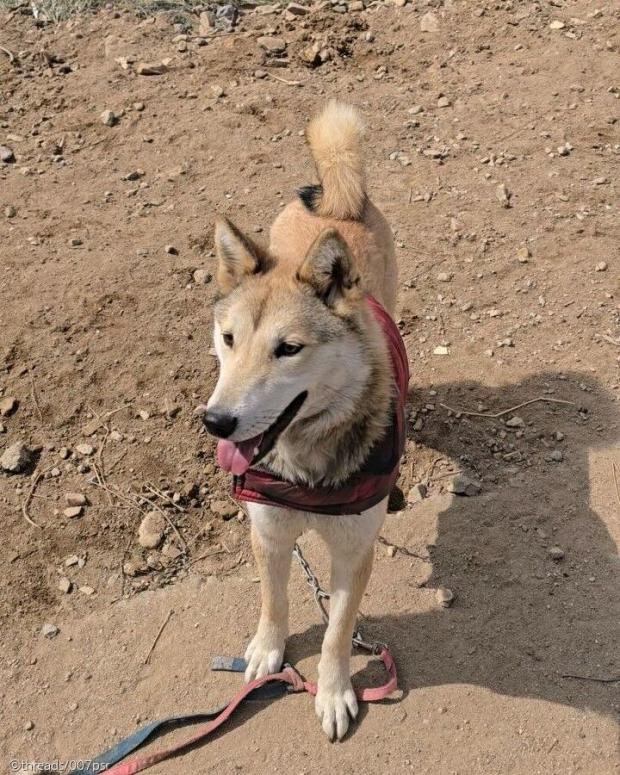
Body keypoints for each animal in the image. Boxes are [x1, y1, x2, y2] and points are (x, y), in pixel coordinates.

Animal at [203, 101, 406, 740]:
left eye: (288, 349)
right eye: (229, 339)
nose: (216, 421)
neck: (305, 469)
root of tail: (335, 204)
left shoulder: (354, 553)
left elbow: (340, 634)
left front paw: (335, 691)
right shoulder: (268, 532)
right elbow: (274, 602)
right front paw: (267, 653)